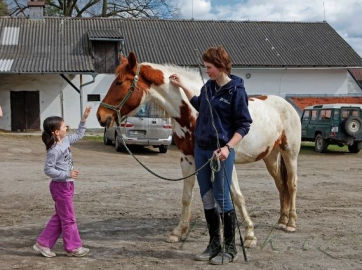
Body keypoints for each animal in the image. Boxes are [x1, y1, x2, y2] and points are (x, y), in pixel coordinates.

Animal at [97, 51, 302, 248]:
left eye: (119, 82)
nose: (101, 116)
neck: (196, 112)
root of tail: (287, 106)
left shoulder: (224, 159)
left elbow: (236, 196)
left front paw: (250, 235)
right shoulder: (188, 159)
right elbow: (187, 197)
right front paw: (179, 232)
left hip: (290, 153)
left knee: (291, 184)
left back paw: (291, 223)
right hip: (270, 157)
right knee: (280, 184)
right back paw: (282, 220)